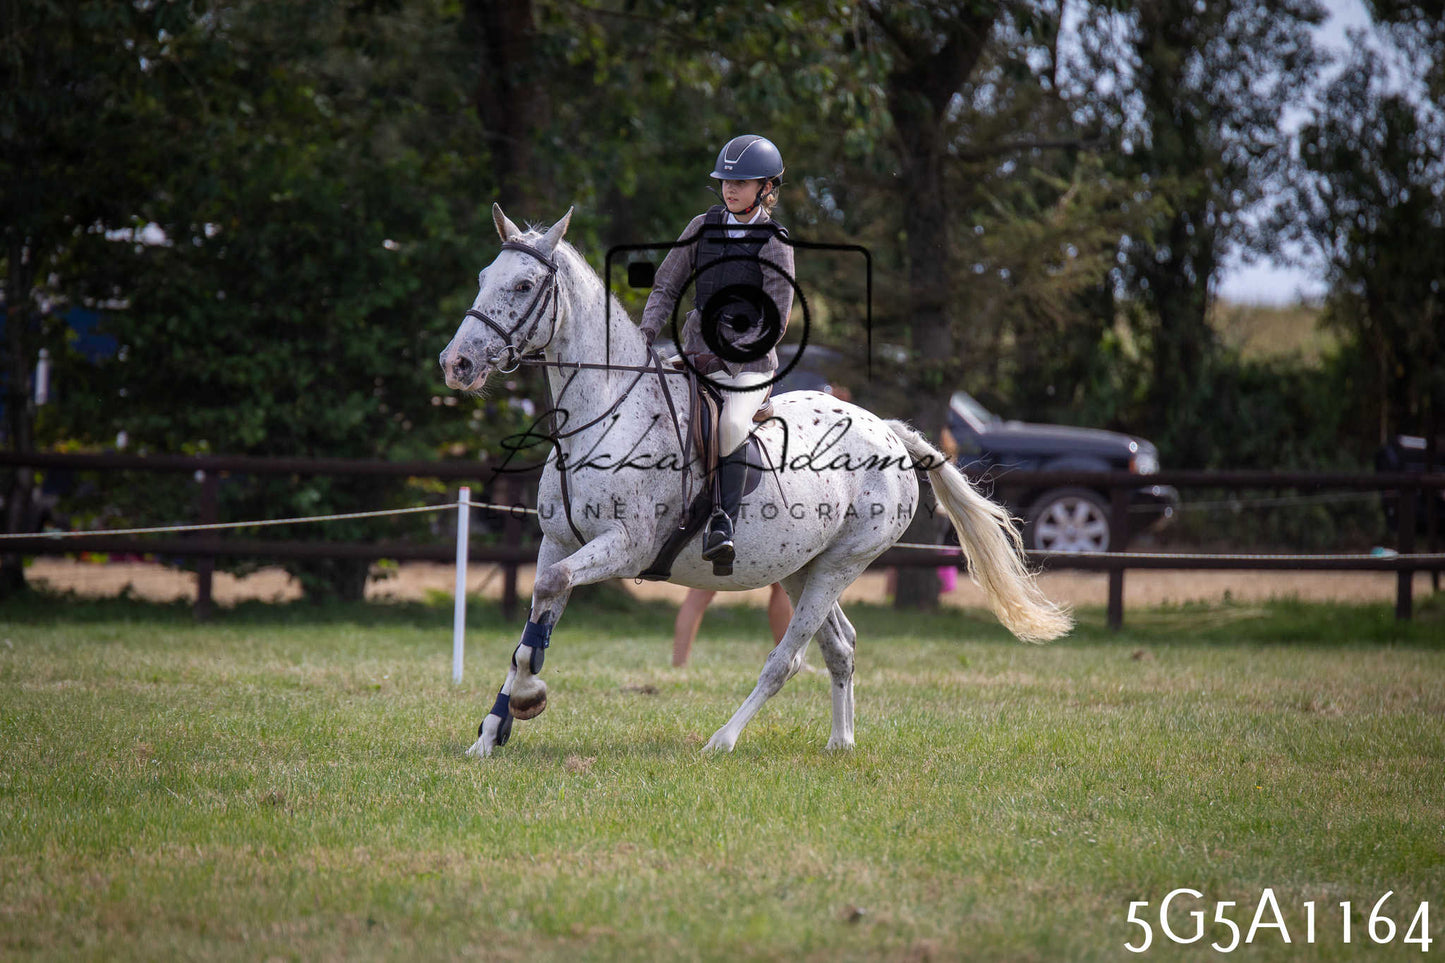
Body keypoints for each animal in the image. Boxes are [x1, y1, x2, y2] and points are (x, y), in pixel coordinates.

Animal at [439, 205, 1071, 757]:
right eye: (483, 277)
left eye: (524, 286)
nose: (456, 364)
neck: (605, 413)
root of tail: (888, 432)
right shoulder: (557, 543)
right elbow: (534, 623)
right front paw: (491, 733)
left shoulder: (626, 546)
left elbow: (548, 599)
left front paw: (527, 701)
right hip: (801, 568)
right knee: (840, 646)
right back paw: (840, 743)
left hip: (842, 564)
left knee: (786, 659)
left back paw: (723, 740)